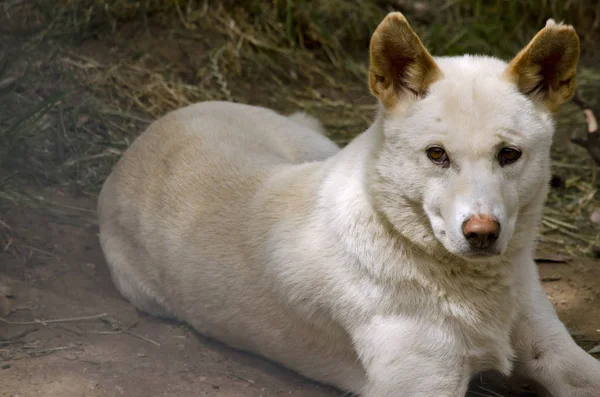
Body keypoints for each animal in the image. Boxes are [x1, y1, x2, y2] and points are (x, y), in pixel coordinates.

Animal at [98, 12, 600, 396]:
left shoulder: (557, 353)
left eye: (509, 155)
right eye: (436, 155)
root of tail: (153, 130)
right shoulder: (421, 386)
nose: (482, 234)